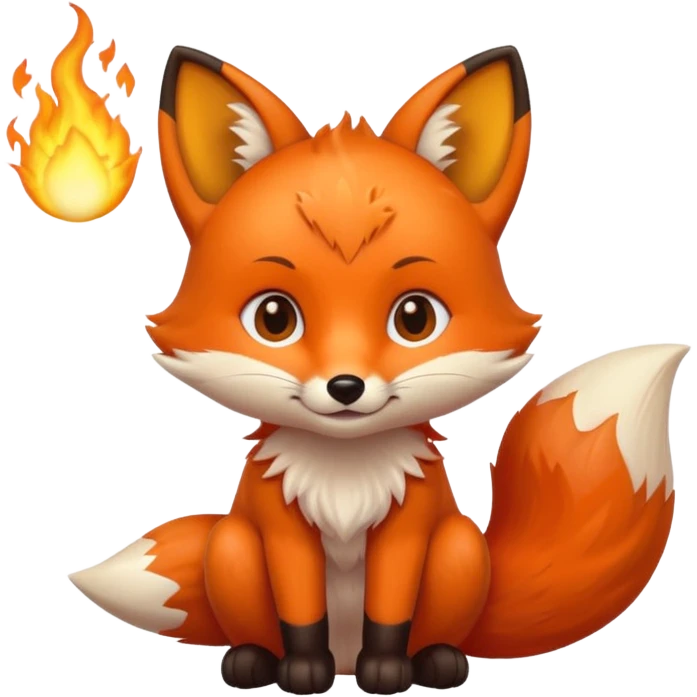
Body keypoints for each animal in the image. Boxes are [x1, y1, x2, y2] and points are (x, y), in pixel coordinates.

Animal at [68, 44, 687, 695]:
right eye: (273, 318)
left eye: (415, 318)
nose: (346, 386)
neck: (345, 475)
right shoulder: (283, 531)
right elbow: (301, 614)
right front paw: (303, 671)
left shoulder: (408, 529)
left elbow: (389, 612)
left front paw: (387, 672)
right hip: (231, 546)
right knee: (253, 612)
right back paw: (254, 660)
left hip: (460, 549)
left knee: (435, 621)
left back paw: (436, 660)